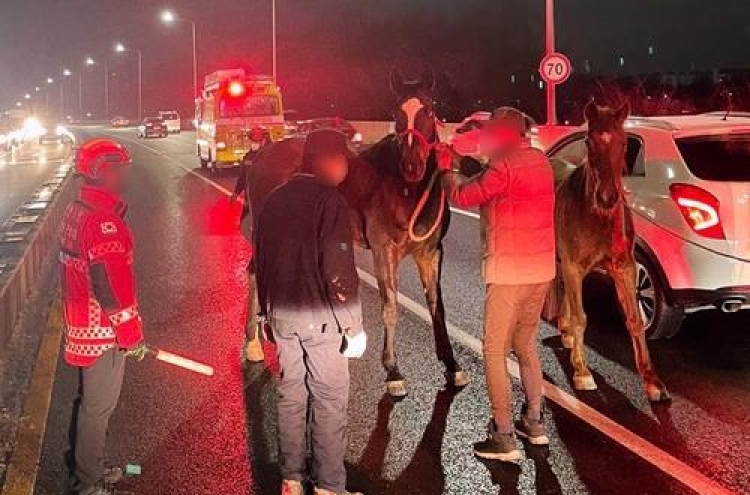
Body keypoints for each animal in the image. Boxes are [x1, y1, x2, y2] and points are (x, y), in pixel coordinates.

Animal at [247, 70, 470, 400]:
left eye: (429, 110)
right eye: (396, 113)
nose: (412, 165)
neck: (405, 190)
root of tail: (263, 152)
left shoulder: (430, 252)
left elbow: (436, 306)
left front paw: (452, 365)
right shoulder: (383, 250)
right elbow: (390, 307)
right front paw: (392, 371)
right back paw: (253, 342)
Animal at [556, 101, 672, 404]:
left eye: (624, 143)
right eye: (588, 141)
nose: (608, 197)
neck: (597, 217)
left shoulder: (625, 268)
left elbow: (634, 320)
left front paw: (653, 382)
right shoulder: (573, 264)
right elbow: (581, 317)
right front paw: (582, 371)